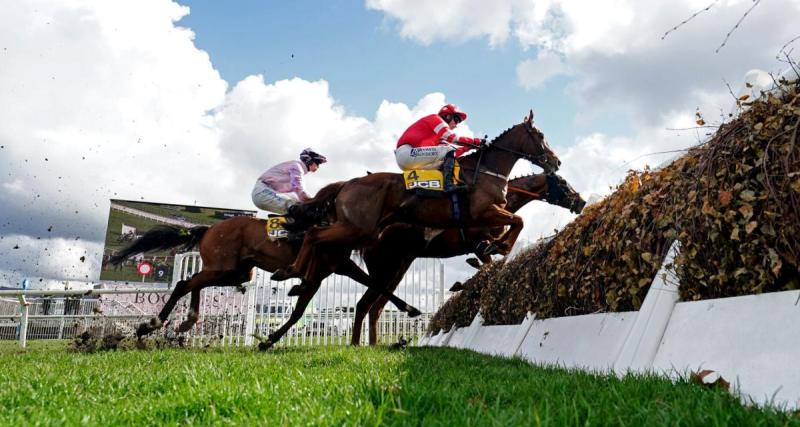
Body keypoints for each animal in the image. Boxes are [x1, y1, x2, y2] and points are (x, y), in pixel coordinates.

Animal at [280, 110, 564, 286]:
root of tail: (348, 183)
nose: (556, 161)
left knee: (317, 236)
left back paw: (293, 273)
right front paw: (498, 247)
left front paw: (495, 247)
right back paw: (291, 270)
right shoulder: (483, 212)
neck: (485, 170)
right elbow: (518, 222)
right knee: (314, 233)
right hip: (357, 228)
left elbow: (512, 226)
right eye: (540, 136)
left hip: (361, 232)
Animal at [354, 172, 584, 346]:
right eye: (563, 183)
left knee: (375, 308)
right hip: (385, 270)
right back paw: (357, 344)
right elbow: (500, 247)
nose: (581, 202)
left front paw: (465, 279)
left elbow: (494, 259)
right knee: (363, 305)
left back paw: (374, 344)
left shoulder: (482, 244)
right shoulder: (476, 242)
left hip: (397, 271)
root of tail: (373, 236)